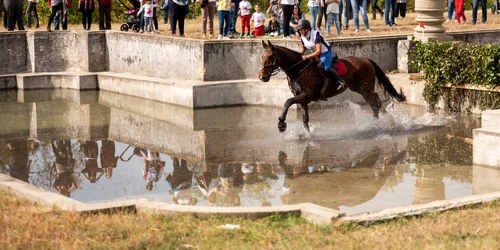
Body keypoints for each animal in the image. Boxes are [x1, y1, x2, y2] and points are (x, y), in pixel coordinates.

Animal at [258, 41, 406, 134]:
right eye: (261, 56)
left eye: (270, 57)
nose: (262, 77)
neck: (298, 69)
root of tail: (367, 60)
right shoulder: (302, 98)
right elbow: (305, 118)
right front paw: (306, 134)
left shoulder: (306, 95)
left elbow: (287, 102)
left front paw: (281, 124)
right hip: (359, 88)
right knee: (374, 102)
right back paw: (378, 121)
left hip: (367, 87)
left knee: (375, 101)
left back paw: (381, 122)